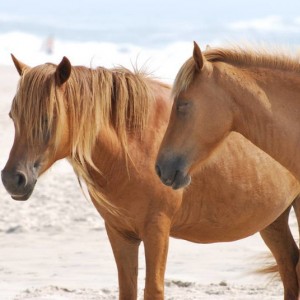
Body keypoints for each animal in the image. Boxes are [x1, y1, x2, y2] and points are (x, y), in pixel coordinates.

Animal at [1, 55, 300, 298]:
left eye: (48, 118)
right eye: (12, 116)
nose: (12, 179)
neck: (134, 146)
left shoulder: (157, 230)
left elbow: (153, 290)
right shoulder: (120, 233)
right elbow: (127, 289)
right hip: (272, 221)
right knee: (289, 267)